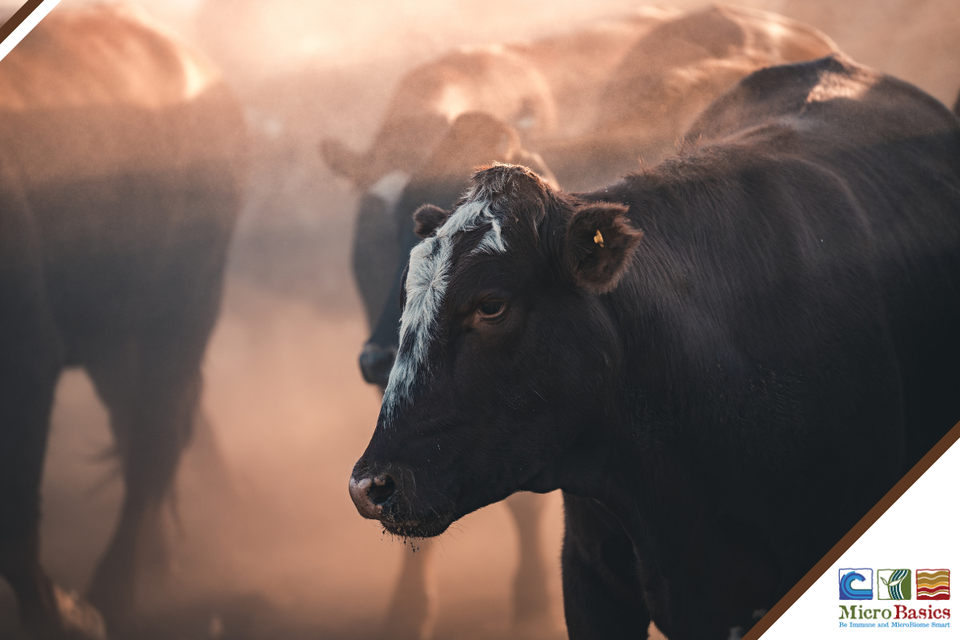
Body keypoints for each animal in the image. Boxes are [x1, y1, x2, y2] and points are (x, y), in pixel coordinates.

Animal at [0, 4, 246, 639]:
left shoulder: (27, 355)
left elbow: (15, 503)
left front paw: (60, 615)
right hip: (114, 340)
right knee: (132, 426)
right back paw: (153, 564)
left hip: (184, 310)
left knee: (155, 442)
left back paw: (114, 591)